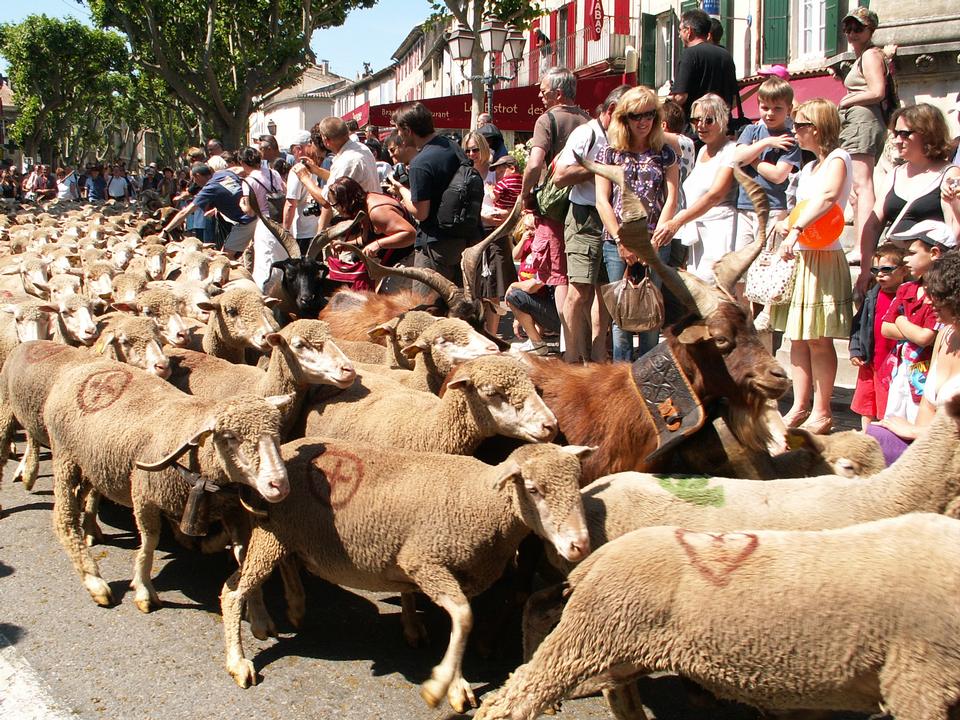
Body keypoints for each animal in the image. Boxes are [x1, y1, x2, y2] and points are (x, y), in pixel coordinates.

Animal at [42, 358, 288, 612]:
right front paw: (143, 589)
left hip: (90, 463)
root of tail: (81, 368)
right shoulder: (143, 495)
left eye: (276, 432)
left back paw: (91, 530)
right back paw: (94, 580)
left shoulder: (230, 508)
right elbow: (149, 543)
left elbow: (241, 551)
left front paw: (257, 609)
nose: (278, 484)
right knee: (64, 517)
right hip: (64, 455)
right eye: (231, 437)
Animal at [476, 516, 960, 716]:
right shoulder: (918, 681)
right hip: (589, 635)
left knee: (620, 696)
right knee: (517, 696)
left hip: (619, 648)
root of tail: (598, 558)